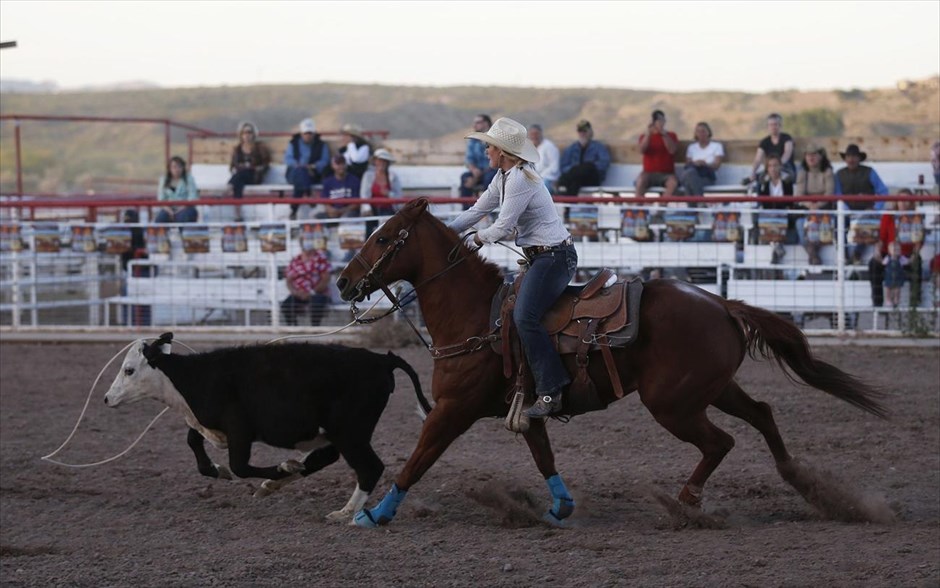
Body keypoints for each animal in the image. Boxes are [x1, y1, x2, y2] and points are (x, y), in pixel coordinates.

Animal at [338, 198, 888, 528]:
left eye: (384, 237)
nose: (344, 282)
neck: (480, 315)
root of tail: (721, 304)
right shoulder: (527, 405)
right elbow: (544, 456)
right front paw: (560, 507)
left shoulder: (452, 408)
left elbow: (417, 459)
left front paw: (375, 514)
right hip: (710, 389)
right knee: (763, 414)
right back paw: (804, 483)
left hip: (672, 403)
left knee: (721, 442)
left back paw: (685, 505)